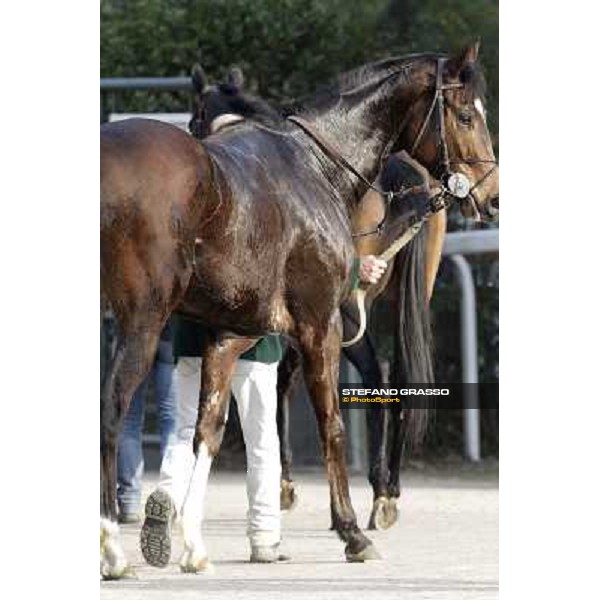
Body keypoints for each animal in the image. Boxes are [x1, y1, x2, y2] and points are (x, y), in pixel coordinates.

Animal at [101, 44, 500, 580]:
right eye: (464, 115)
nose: (493, 196)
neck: (313, 165)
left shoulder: (231, 334)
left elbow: (208, 430)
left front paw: (193, 545)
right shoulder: (319, 325)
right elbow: (331, 422)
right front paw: (350, 533)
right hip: (142, 323)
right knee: (111, 410)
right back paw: (112, 549)